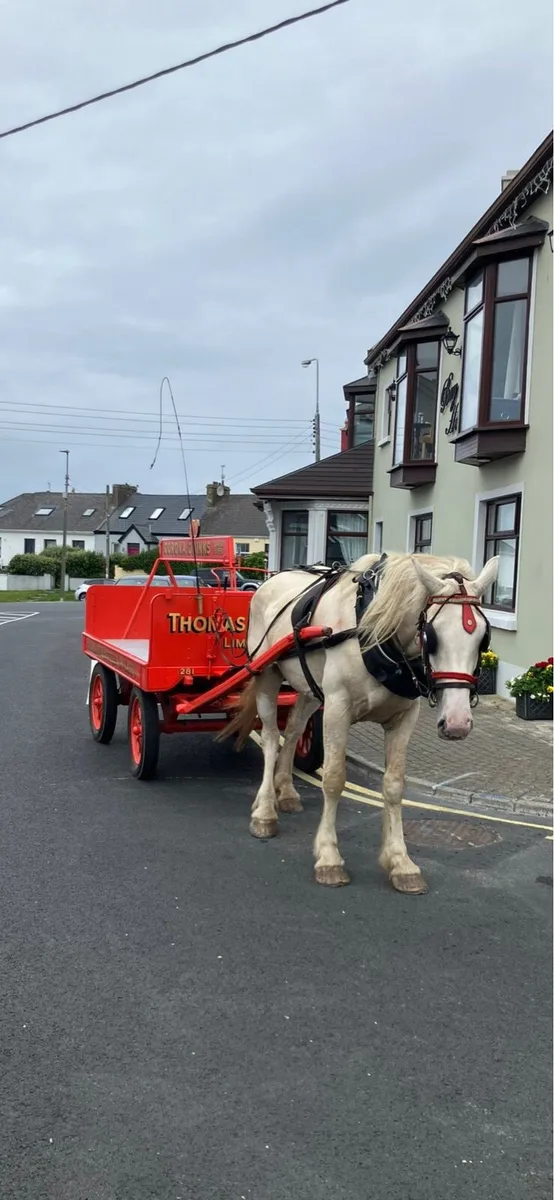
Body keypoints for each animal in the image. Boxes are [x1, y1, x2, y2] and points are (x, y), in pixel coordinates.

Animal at [222, 551, 499, 895]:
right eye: (431, 637)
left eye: (483, 639)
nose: (458, 723)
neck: (373, 629)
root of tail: (269, 581)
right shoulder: (337, 708)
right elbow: (333, 779)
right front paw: (329, 858)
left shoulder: (403, 718)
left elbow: (393, 785)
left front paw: (400, 861)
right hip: (267, 675)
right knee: (272, 739)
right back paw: (264, 812)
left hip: (309, 689)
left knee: (295, 730)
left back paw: (285, 791)